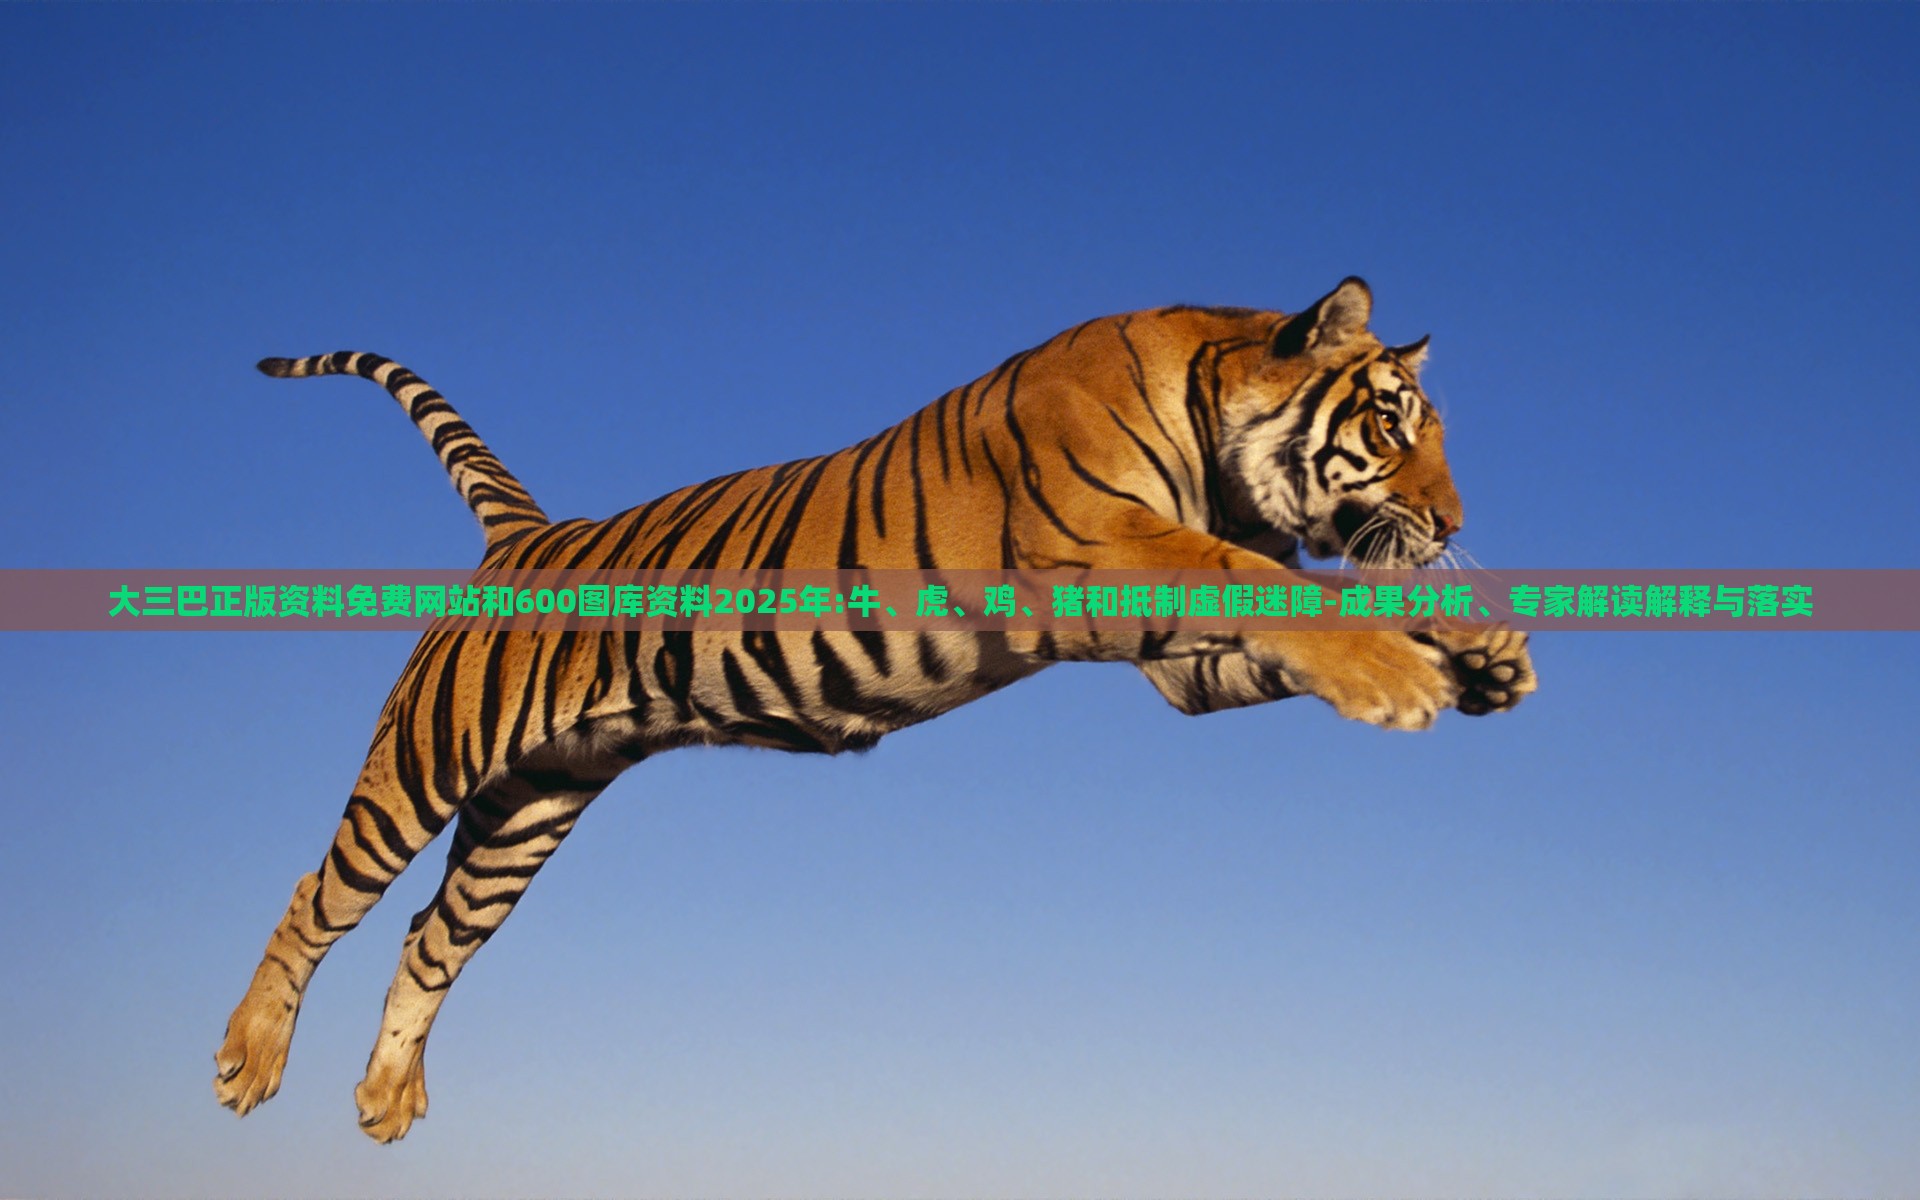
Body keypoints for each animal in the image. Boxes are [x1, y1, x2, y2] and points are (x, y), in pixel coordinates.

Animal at [213, 276, 1535, 1142]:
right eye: (1389, 425)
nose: (1455, 521)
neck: (1217, 443)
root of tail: (528, 533)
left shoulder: (1180, 666)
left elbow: (1308, 603)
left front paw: (1482, 649)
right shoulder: (1107, 552)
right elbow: (1275, 585)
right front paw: (1406, 679)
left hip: (532, 808)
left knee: (431, 936)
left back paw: (386, 1101)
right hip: (427, 761)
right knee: (320, 893)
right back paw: (247, 1060)